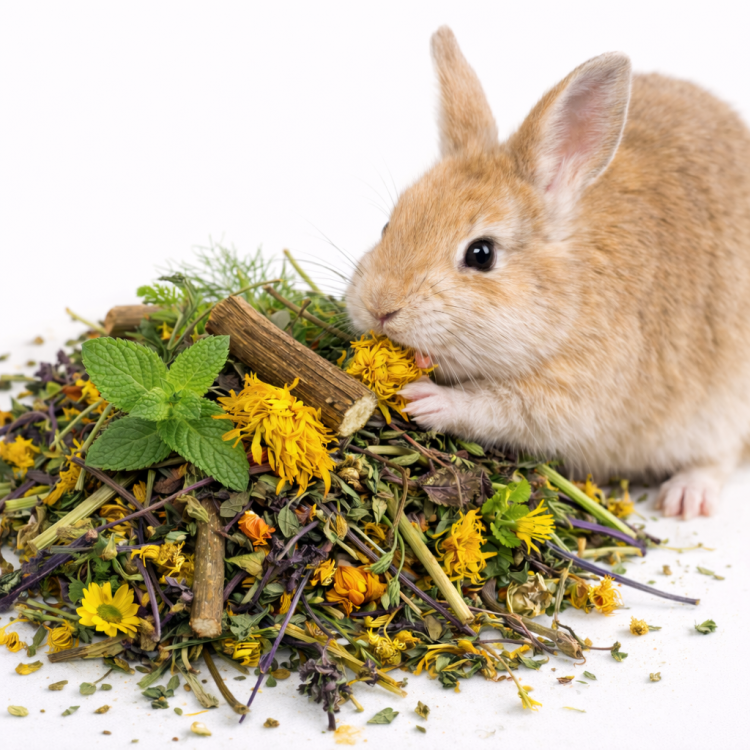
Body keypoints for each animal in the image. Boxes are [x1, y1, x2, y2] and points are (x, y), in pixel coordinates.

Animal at [345, 26, 750, 520]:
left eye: (481, 254)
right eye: (389, 225)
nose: (380, 307)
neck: (570, 292)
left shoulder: (572, 396)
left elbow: (499, 408)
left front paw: (424, 399)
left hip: (725, 406)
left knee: (721, 455)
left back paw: (686, 496)